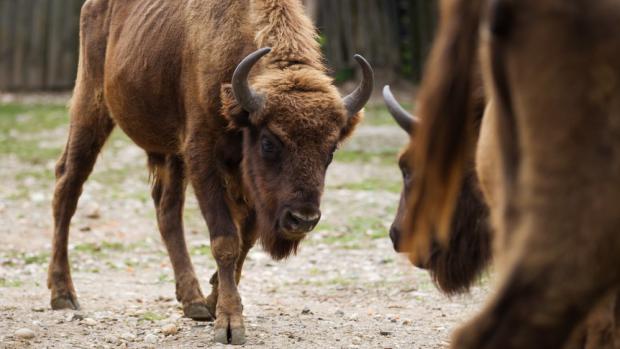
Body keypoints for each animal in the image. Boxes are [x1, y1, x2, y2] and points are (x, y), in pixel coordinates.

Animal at [47, 0, 372, 342]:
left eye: (331, 149)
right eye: (269, 142)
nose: (303, 219)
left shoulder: (244, 180)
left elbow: (245, 240)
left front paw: (215, 300)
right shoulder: (202, 155)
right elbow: (225, 239)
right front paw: (229, 323)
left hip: (169, 152)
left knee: (167, 211)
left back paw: (193, 301)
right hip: (91, 108)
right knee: (67, 187)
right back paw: (63, 294)